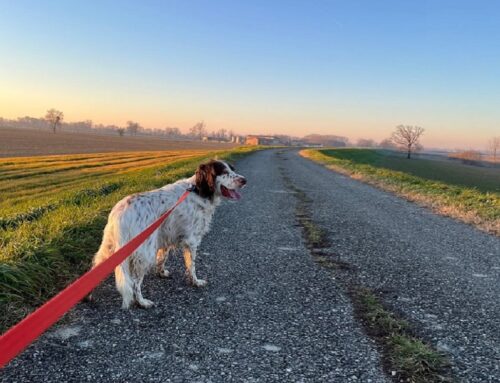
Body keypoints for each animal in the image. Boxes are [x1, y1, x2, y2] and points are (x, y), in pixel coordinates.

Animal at [91, 159, 247, 308]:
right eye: (224, 171)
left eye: (233, 169)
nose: (244, 180)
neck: (198, 190)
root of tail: (120, 211)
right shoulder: (191, 241)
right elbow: (192, 265)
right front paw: (195, 282)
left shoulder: (166, 236)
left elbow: (162, 258)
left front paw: (161, 273)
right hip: (144, 253)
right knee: (135, 283)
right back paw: (142, 302)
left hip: (109, 248)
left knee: (96, 268)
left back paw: (90, 296)